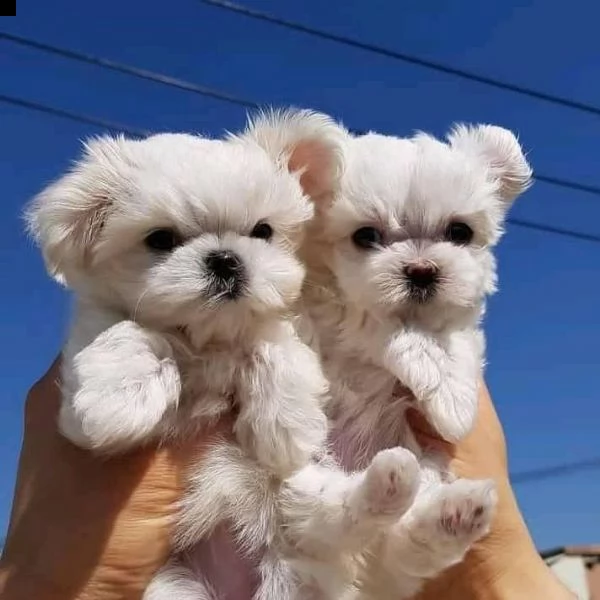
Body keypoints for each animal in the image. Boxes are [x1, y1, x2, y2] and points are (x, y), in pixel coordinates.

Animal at [27, 108, 422, 600]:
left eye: (263, 231)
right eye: (160, 239)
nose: (226, 259)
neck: (210, 339)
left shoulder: (285, 327)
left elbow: (274, 343)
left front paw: (286, 425)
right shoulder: (88, 349)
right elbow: (132, 332)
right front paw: (118, 398)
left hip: (298, 514)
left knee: (335, 515)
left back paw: (392, 481)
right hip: (176, 586)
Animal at [300, 124, 536, 596]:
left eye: (460, 231)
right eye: (366, 236)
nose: (423, 270)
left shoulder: (463, 325)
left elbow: (453, 340)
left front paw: (452, 401)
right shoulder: (332, 306)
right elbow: (374, 322)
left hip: (425, 472)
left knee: (403, 547)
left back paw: (453, 513)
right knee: (329, 514)